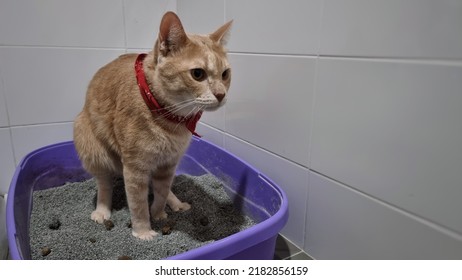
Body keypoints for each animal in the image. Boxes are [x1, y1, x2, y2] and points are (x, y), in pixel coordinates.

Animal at [74, 12, 233, 241]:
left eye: (225, 74)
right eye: (197, 74)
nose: (221, 94)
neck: (171, 119)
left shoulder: (168, 164)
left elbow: (161, 192)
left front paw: (159, 215)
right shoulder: (135, 167)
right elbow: (138, 204)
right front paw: (143, 231)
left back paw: (176, 202)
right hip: (94, 149)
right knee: (104, 184)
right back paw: (102, 210)